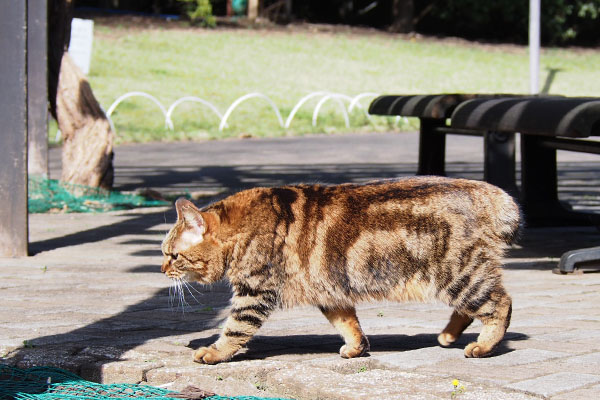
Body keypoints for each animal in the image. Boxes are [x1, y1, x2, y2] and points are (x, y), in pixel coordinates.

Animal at [162, 177, 516, 364]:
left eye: (173, 255)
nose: (163, 268)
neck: (240, 228)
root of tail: (488, 191)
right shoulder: (329, 290)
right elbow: (348, 323)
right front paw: (357, 347)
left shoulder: (254, 292)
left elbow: (235, 329)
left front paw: (214, 352)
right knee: (471, 310)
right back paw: (448, 335)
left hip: (460, 276)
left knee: (501, 305)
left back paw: (483, 345)